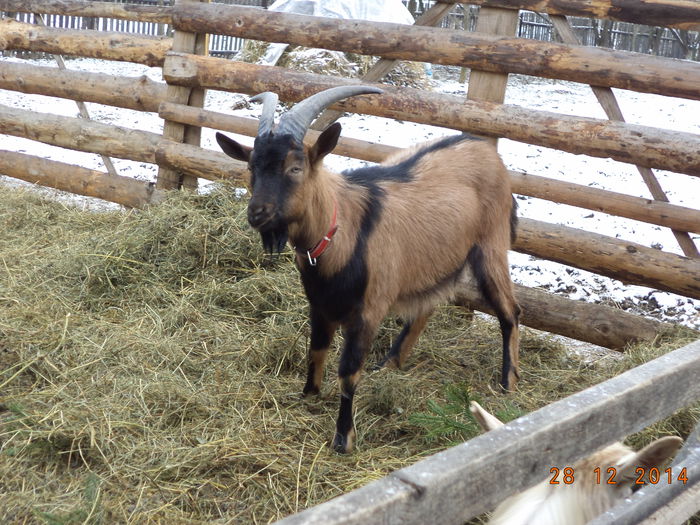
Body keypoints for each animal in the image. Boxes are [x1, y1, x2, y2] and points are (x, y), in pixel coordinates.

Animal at [217, 85, 520, 450]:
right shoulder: (319, 305)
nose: (257, 213)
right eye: (252, 167)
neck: (341, 233)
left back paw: (509, 383)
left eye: (295, 168)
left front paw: (343, 439)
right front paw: (308, 396)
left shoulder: (368, 311)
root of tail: (485, 148)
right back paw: (389, 363)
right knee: (427, 306)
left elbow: (348, 371)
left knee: (510, 311)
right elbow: (316, 351)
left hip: (491, 245)